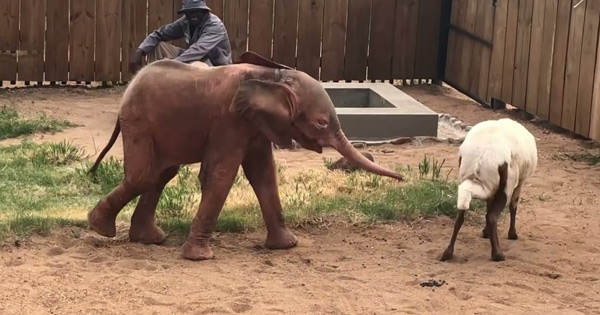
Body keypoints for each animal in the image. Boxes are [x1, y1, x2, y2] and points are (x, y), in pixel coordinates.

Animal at [440, 117, 540, 262]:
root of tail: (480, 158)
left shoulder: (491, 189)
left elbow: (488, 207)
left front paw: (486, 232)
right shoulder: (519, 182)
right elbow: (513, 205)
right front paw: (512, 234)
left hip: (470, 179)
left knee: (461, 215)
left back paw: (448, 252)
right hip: (507, 185)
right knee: (493, 216)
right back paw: (497, 254)